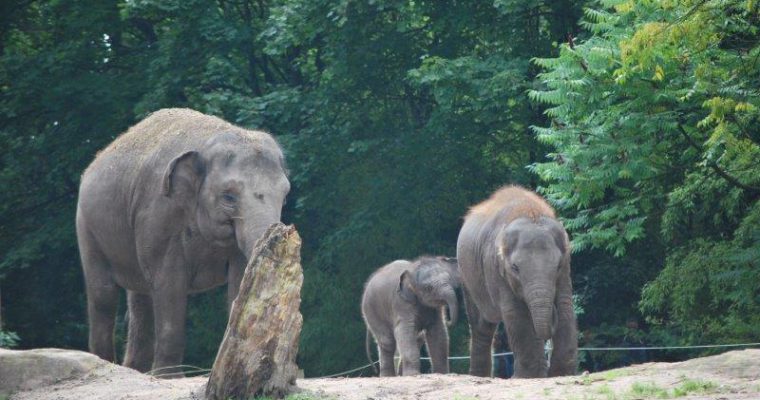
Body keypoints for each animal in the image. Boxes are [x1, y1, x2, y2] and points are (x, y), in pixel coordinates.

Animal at [76, 108, 290, 376]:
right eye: (228, 197)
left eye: (285, 195)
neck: (208, 141)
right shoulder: (159, 213)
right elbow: (170, 283)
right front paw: (168, 377)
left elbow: (240, 278)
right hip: (87, 226)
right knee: (103, 294)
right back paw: (107, 363)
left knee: (140, 299)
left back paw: (136, 370)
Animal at [458, 185, 576, 378]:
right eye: (515, 268)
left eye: (558, 265)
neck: (529, 211)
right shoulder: (495, 268)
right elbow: (515, 312)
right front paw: (527, 377)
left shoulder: (566, 267)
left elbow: (565, 305)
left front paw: (560, 374)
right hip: (467, 277)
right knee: (481, 325)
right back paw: (478, 376)